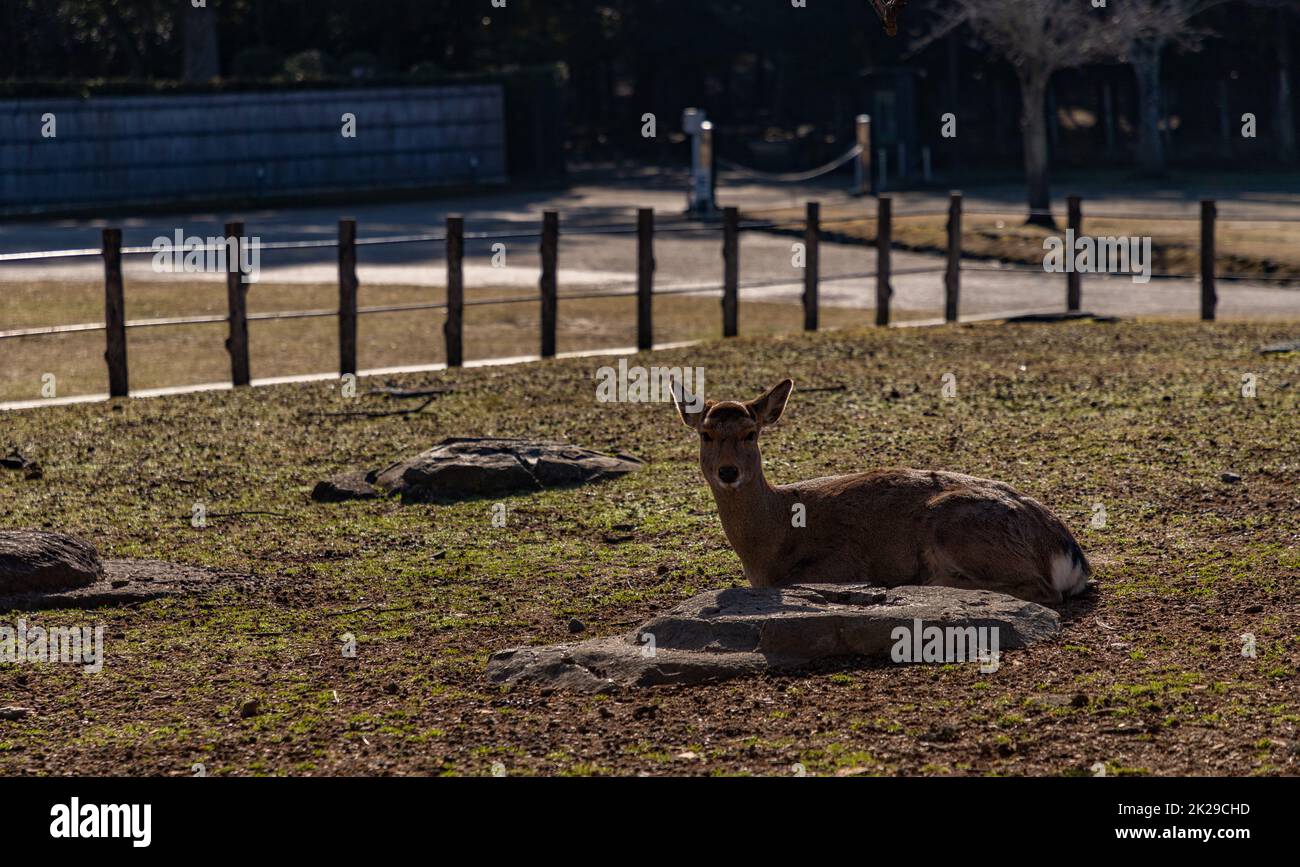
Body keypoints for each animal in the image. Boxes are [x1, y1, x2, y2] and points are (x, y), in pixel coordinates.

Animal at [672, 378, 1091, 606]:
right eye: (705, 434)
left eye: (750, 433)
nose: (728, 471)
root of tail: (1068, 553)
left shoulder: (836, 566)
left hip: (958, 526)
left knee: (1041, 589)